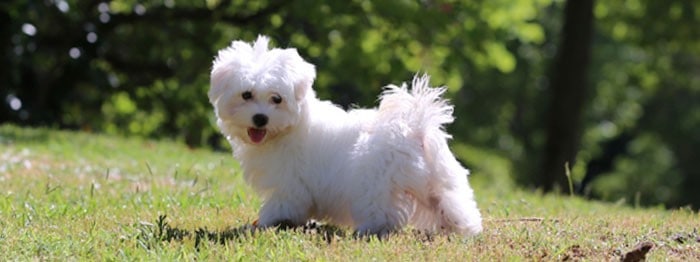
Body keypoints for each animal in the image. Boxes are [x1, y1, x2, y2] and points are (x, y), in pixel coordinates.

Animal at [208, 35, 482, 237]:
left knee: (381, 210)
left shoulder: (290, 181)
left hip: (377, 181)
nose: (260, 118)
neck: (288, 127)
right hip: (439, 177)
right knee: (451, 202)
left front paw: (268, 221)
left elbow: (284, 203)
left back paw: (370, 230)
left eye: (277, 99)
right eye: (246, 95)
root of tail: (414, 127)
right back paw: (462, 228)